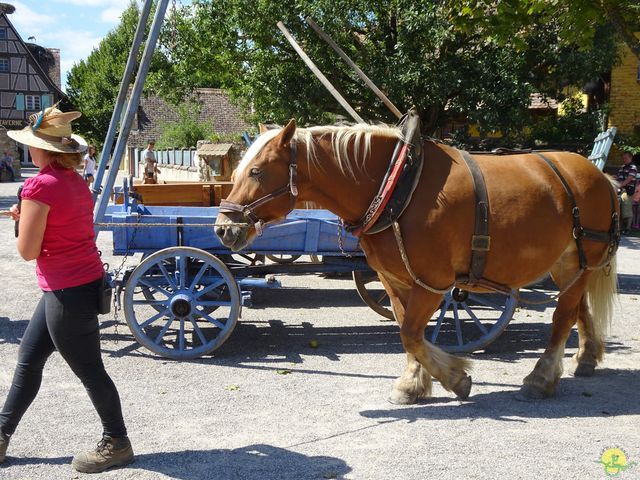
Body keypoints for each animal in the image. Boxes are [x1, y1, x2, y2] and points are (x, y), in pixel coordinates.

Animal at [216, 120, 620, 402]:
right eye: (237, 172)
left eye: (257, 171)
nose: (223, 228)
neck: (397, 187)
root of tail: (598, 174)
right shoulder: (395, 280)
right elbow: (408, 333)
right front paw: (414, 384)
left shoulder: (435, 282)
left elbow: (411, 333)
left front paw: (456, 377)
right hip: (568, 264)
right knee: (578, 307)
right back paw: (586, 358)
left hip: (581, 259)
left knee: (562, 317)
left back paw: (541, 377)